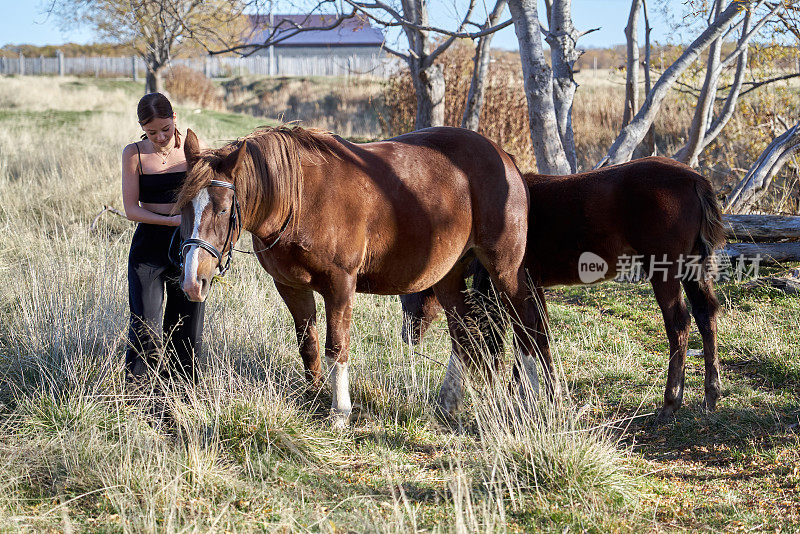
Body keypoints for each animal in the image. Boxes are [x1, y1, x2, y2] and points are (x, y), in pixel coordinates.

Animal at [176, 124, 552, 428]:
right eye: (182, 207)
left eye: (224, 209)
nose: (193, 281)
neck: (301, 199)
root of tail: (503, 156)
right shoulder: (291, 286)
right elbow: (308, 343)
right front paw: (315, 395)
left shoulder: (340, 285)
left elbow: (336, 348)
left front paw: (339, 412)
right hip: (448, 274)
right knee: (466, 334)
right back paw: (448, 404)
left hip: (505, 269)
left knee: (528, 327)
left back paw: (531, 399)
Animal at [400, 159, 724, 422]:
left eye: (414, 292)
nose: (407, 335)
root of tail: (696, 180)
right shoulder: (533, 286)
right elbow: (537, 334)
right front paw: (530, 393)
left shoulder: (520, 284)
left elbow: (529, 334)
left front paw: (526, 395)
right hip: (693, 269)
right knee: (706, 314)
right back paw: (711, 396)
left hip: (665, 270)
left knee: (678, 323)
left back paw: (671, 402)